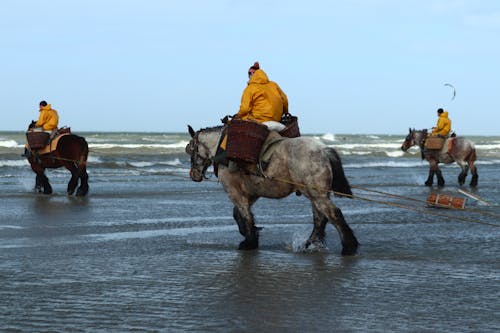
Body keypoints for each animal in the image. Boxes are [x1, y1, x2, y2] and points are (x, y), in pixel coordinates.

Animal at [186, 124, 358, 254]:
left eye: (191, 150)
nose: (193, 174)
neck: (223, 146)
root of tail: (323, 149)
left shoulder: (234, 192)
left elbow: (245, 215)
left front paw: (249, 241)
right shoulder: (252, 193)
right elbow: (239, 214)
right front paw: (251, 234)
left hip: (316, 194)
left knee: (333, 214)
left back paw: (349, 246)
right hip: (314, 193)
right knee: (320, 218)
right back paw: (310, 243)